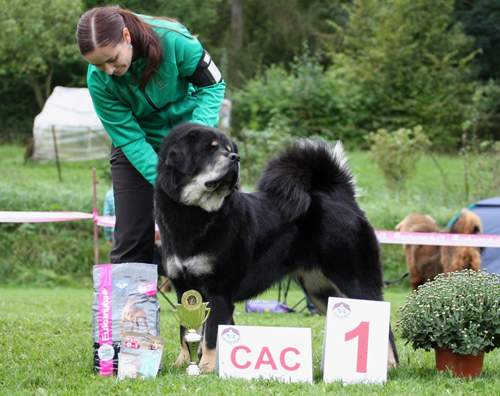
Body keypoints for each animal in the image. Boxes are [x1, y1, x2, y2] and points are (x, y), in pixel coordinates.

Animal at [154, 123, 400, 372]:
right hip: (320, 289)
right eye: (209, 149)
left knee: (383, 319)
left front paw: (204, 368)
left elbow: (211, 335)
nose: (235, 158)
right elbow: (186, 332)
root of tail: (341, 196)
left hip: (354, 279)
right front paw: (183, 363)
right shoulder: (185, 289)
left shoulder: (218, 290)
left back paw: (389, 365)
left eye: (229, 150)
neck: (197, 213)